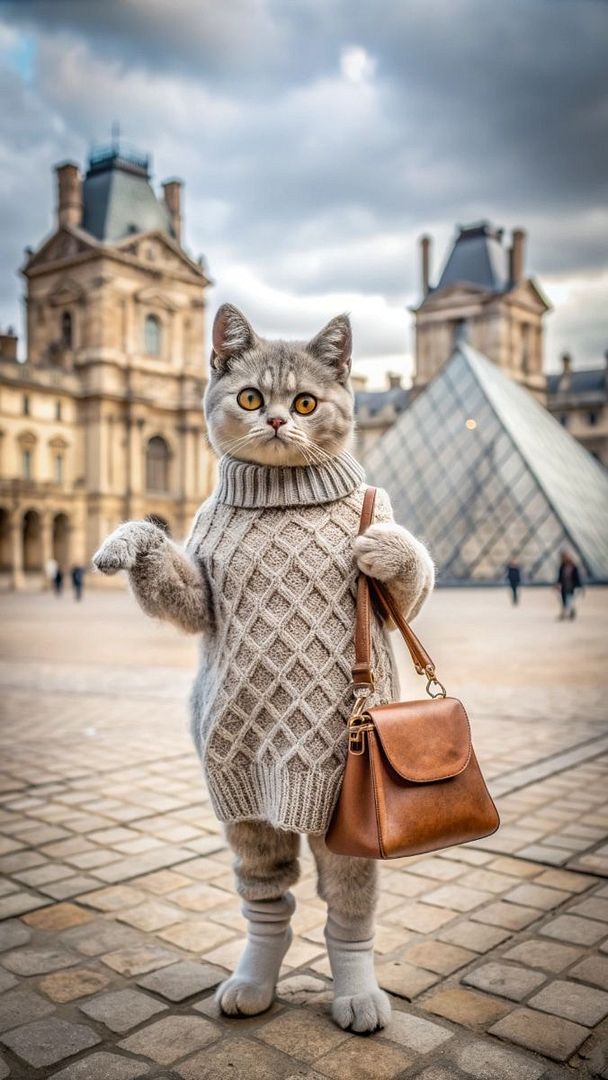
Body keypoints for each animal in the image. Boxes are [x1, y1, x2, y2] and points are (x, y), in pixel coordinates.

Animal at [92, 306, 436, 1036]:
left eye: (305, 402)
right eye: (251, 397)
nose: (277, 421)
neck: (280, 495)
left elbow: (408, 581)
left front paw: (385, 549)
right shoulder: (203, 593)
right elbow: (177, 580)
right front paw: (129, 539)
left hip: (349, 821)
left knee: (348, 907)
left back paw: (357, 996)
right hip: (243, 798)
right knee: (267, 899)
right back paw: (253, 982)